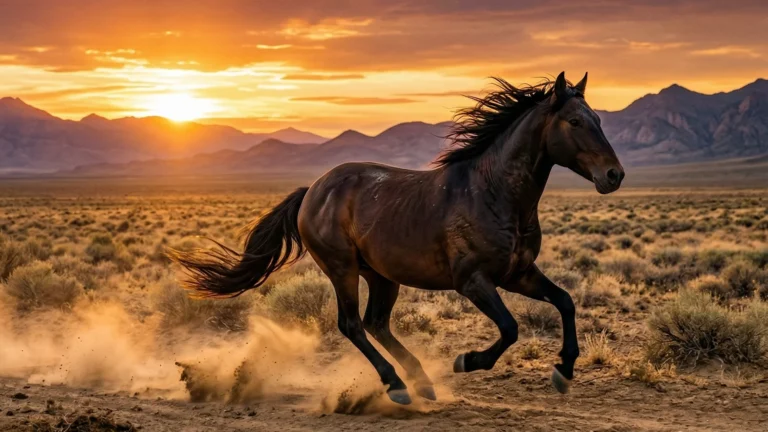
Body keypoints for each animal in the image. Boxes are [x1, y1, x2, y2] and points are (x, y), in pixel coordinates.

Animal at [168, 71, 625, 405]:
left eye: (600, 120)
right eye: (575, 121)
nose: (614, 175)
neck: (495, 193)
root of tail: (312, 190)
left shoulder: (519, 274)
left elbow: (565, 301)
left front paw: (564, 371)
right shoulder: (474, 281)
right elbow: (511, 328)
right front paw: (467, 361)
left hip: (382, 276)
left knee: (376, 323)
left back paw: (420, 382)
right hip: (342, 268)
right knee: (352, 324)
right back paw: (398, 386)